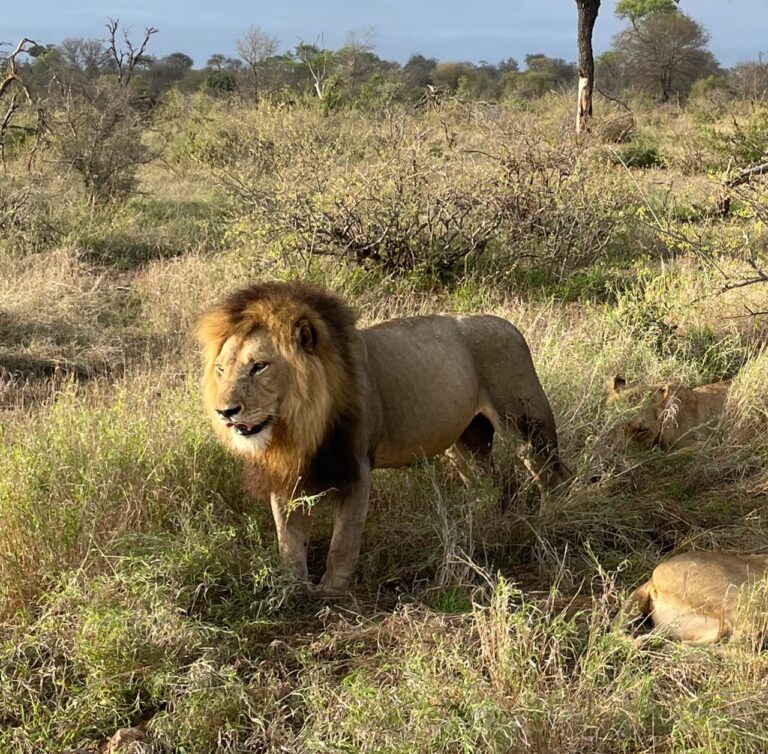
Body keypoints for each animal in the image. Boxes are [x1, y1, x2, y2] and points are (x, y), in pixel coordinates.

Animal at [197, 281, 571, 591]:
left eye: (259, 366)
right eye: (221, 369)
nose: (225, 412)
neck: (298, 425)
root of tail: (509, 325)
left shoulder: (357, 468)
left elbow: (343, 541)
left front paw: (332, 591)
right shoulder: (286, 475)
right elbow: (288, 539)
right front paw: (292, 587)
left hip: (525, 424)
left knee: (554, 476)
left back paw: (552, 520)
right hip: (466, 440)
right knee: (488, 484)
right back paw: (478, 525)